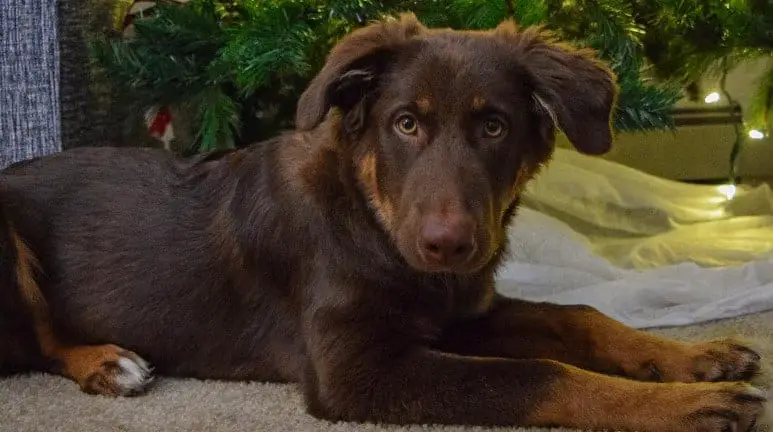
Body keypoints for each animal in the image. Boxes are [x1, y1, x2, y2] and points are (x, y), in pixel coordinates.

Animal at [0, 13, 764, 432]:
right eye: (406, 123)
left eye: (494, 126)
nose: (447, 244)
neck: (371, 220)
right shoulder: (354, 371)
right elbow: (540, 374)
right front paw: (686, 405)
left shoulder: (458, 313)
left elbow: (578, 317)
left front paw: (694, 358)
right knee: (36, 344)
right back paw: (108, 362)